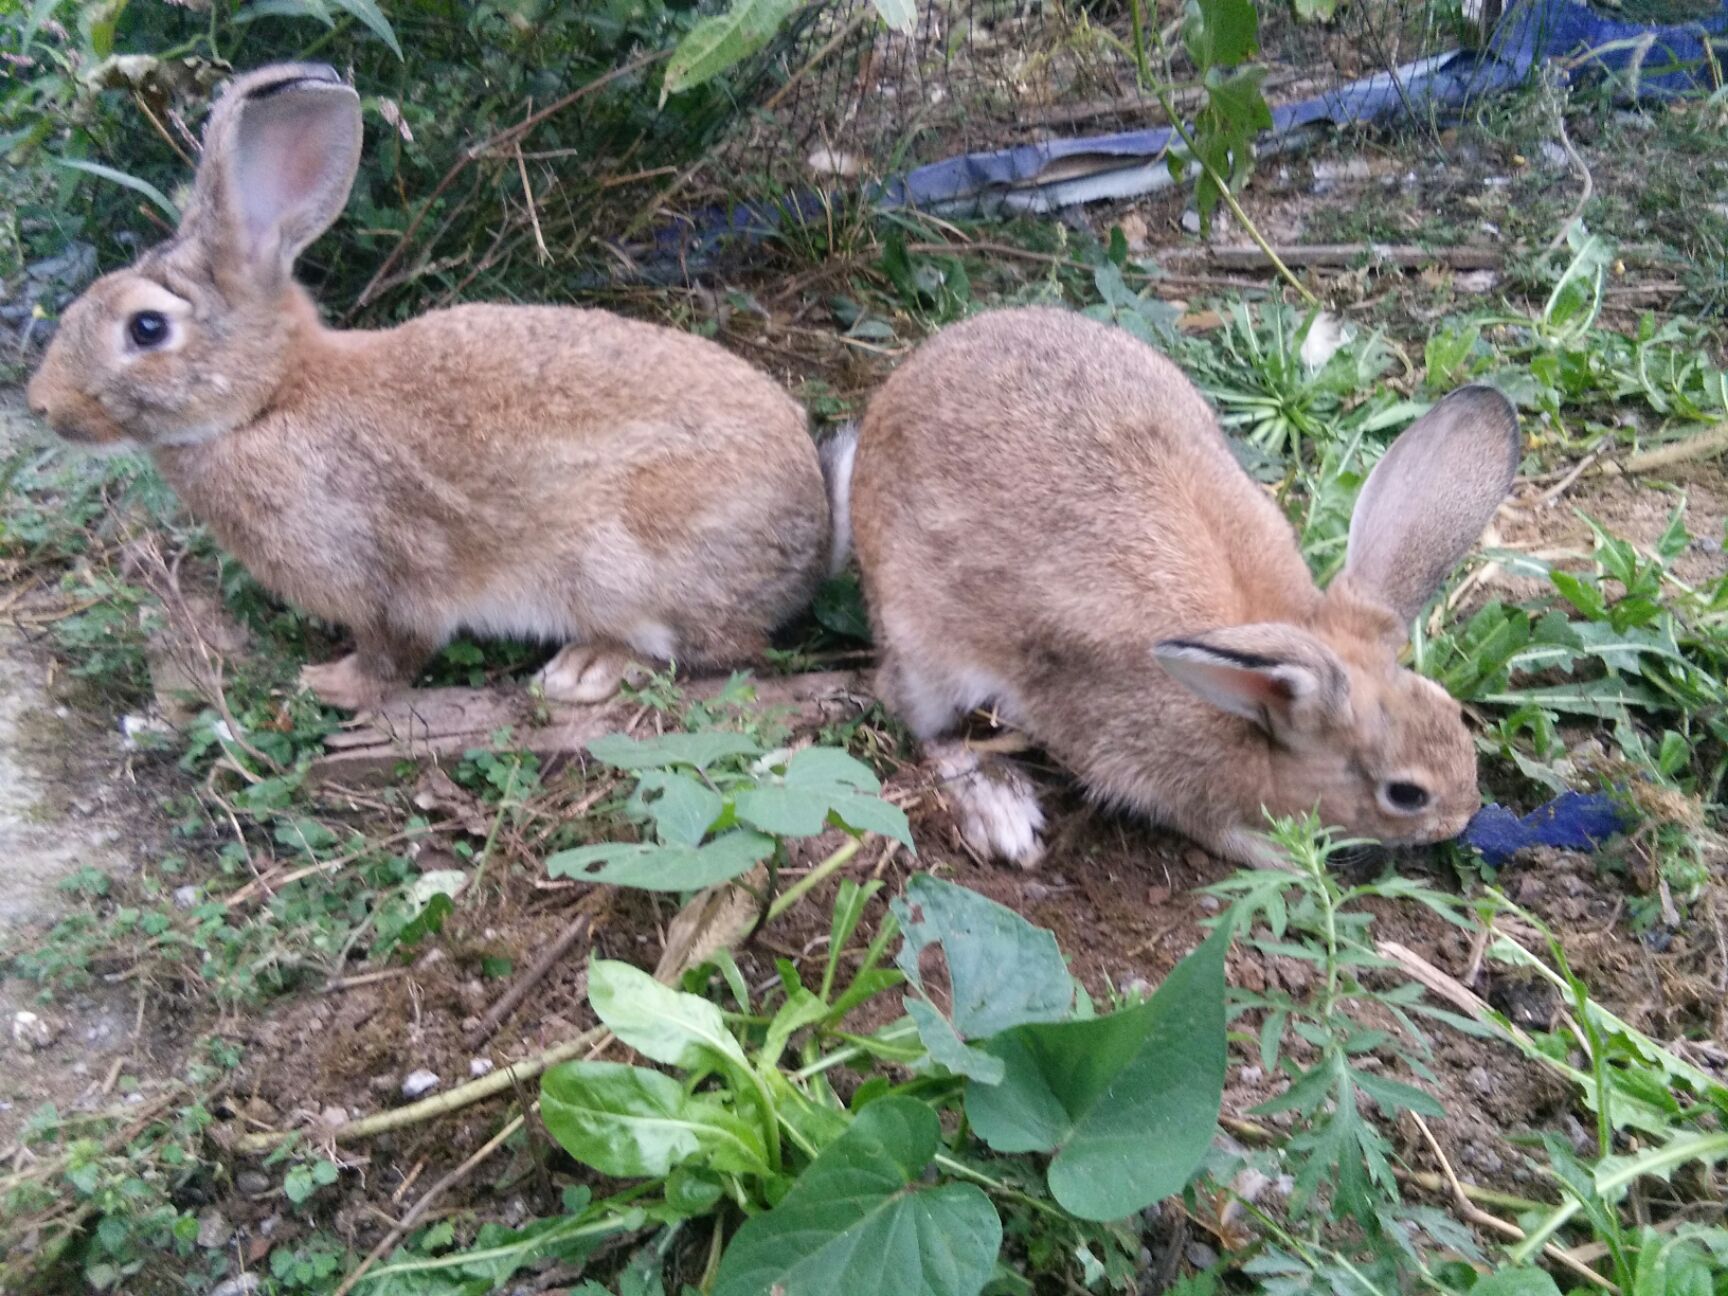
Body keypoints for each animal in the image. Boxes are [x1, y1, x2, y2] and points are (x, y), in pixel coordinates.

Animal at [27, 66, 836, 715]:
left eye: (147, 329)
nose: (42, 405)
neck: (269, 400)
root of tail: (814, 528)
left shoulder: (388, 573)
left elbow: (397, 648)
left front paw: (333, 686)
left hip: (624, 564)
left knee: (714, 647)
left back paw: (586, 668)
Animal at [843, 307, 1520, 867]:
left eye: (1452, 712)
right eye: (1406, 793)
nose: (1462, 818)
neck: (1255, 724)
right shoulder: (1152, 770)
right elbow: (1204, 825)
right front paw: (1282, 859)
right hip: (925, 648)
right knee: (926, 724)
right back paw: (1001, 813)